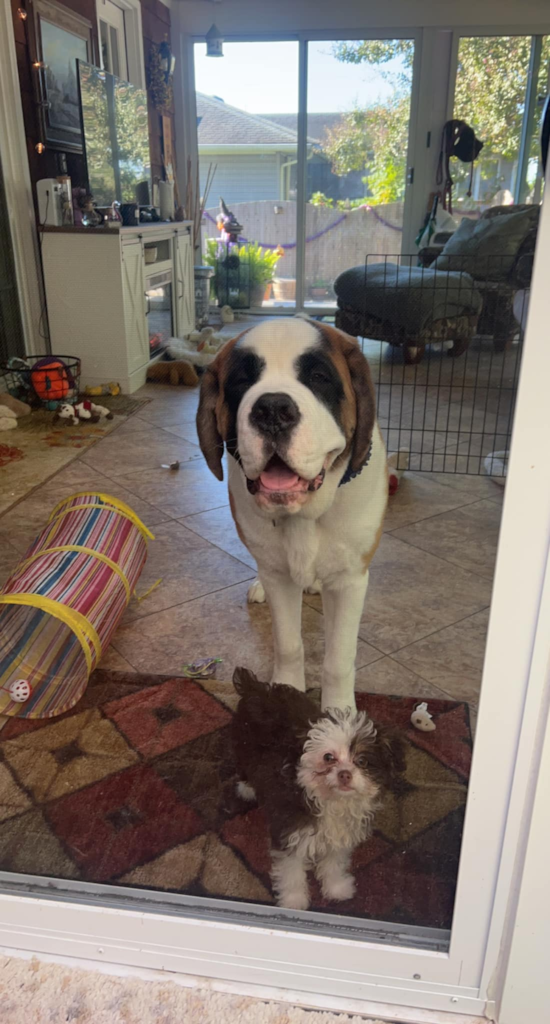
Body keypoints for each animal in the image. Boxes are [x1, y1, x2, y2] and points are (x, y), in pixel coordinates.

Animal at [197, 319, 385, 712]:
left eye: (318, 377)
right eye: (242, 380)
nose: (272, 410)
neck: (305, 513)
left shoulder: (349, 581)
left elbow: (338, 660)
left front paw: (339, 715)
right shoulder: (279, 578)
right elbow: (288, 643)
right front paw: (285, 695)